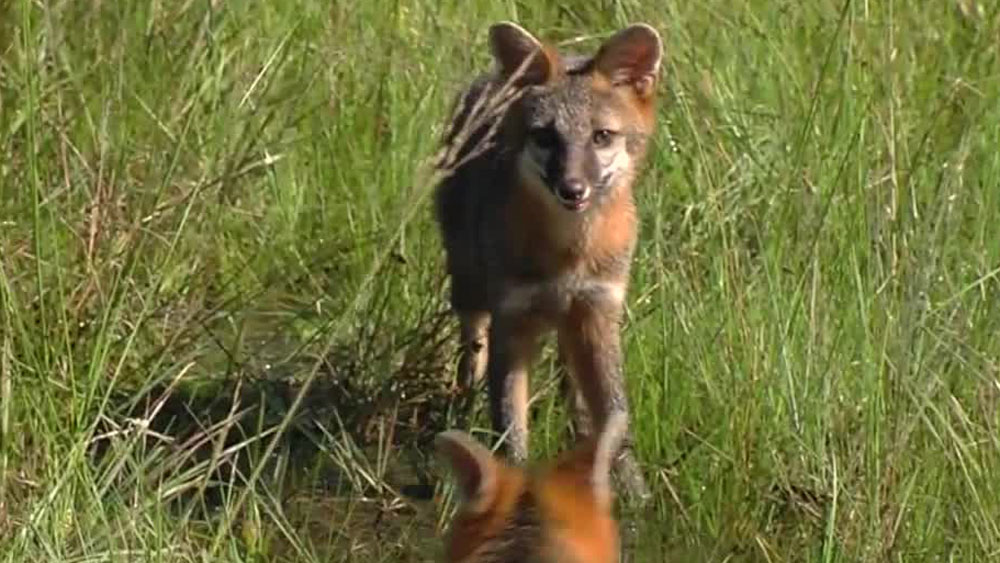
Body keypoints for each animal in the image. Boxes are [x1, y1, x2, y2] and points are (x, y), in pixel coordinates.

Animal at [433, 21, 662, 501]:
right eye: (544, 137)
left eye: (601, 137)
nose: (572, 189)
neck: (570, 256)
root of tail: (488, 79)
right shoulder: (512, 318)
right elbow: (509, 424)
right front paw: (516, 488)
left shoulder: (599, 311)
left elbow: (616, 418)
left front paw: (636, 494)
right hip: (470, 292)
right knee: (470, 355)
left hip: (571, 328)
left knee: (576, 398)